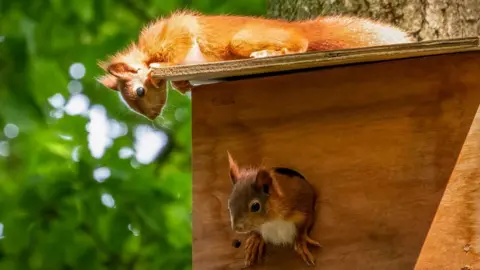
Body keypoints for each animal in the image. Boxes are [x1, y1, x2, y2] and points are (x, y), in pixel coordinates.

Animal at [96, 10, 412, 120]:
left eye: (139, 92)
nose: (151, 117)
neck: (145, 53)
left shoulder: (175, 33)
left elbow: (177, 48)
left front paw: (160, 70)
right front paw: (182, 84)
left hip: (244, 40)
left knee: (300, 45)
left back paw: (267, 54)